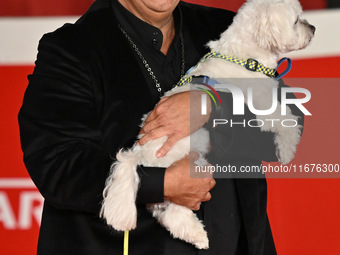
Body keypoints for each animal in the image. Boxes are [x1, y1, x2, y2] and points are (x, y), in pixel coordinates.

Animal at [99, 0, 314, 249]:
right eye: (296, 21)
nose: (313, 28)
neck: (247, 58)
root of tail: (137, 155)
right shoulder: (262, 105)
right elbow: (287, 122)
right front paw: (287, 151)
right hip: (187, 171)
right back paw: (199, 235)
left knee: (168, 214)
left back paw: (196, 235)